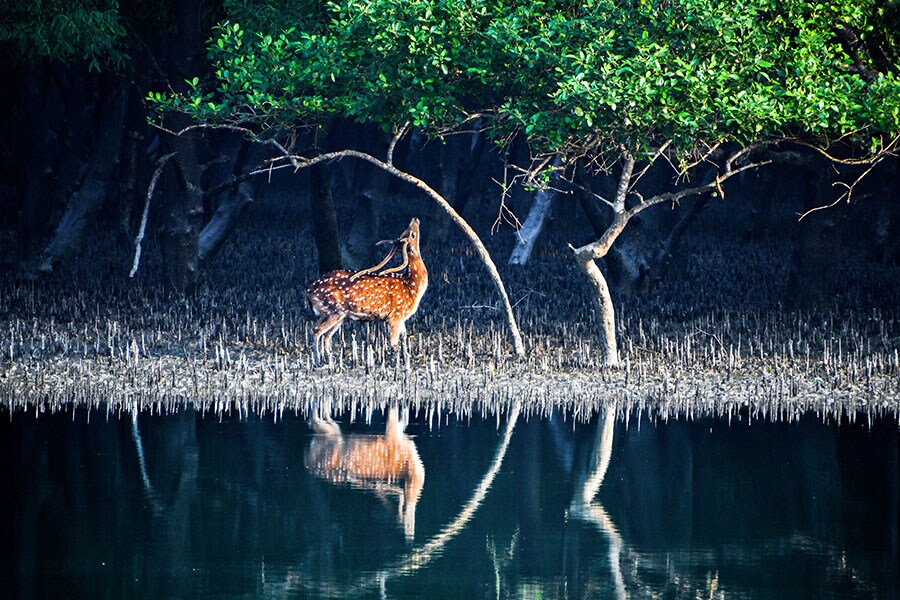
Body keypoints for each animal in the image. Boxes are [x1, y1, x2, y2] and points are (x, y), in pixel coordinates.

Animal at [308, 218, 428, 354]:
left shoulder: (402, 318)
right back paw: (318, 357)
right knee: (316, 331)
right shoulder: (395, 316)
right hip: (334, 310)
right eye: (413, 235)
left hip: (338, 315)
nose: (415, 219)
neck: (412, 287)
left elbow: (404, 338)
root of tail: (309, 291)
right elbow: (394, 345)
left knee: (326, 335)